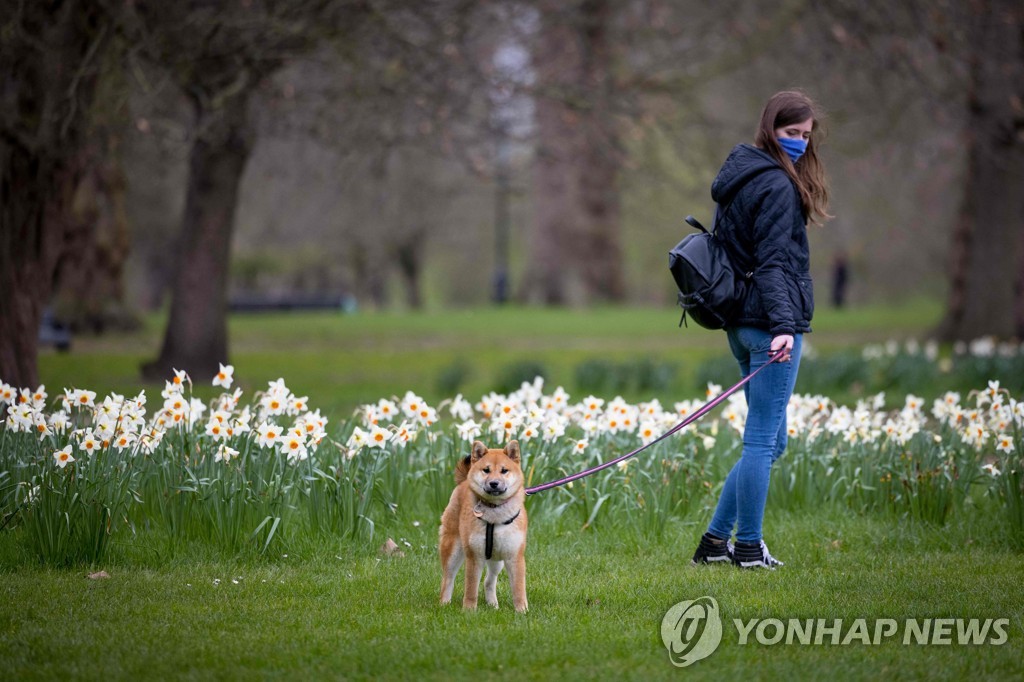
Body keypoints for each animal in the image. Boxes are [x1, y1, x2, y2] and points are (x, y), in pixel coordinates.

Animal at [438, 440, 528, 610]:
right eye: (486, 470)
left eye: (504, 470)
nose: (494, 483)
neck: (495, 514)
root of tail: (463, 482)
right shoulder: (474, 556)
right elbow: (471, 588)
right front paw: (469, 610)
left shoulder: (514, 556)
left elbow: (519, 589)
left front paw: (522, 611)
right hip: (453, 550)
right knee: (448, 579)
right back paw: (444, 603)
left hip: (496, 560)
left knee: (488, 581)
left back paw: (493, 605)